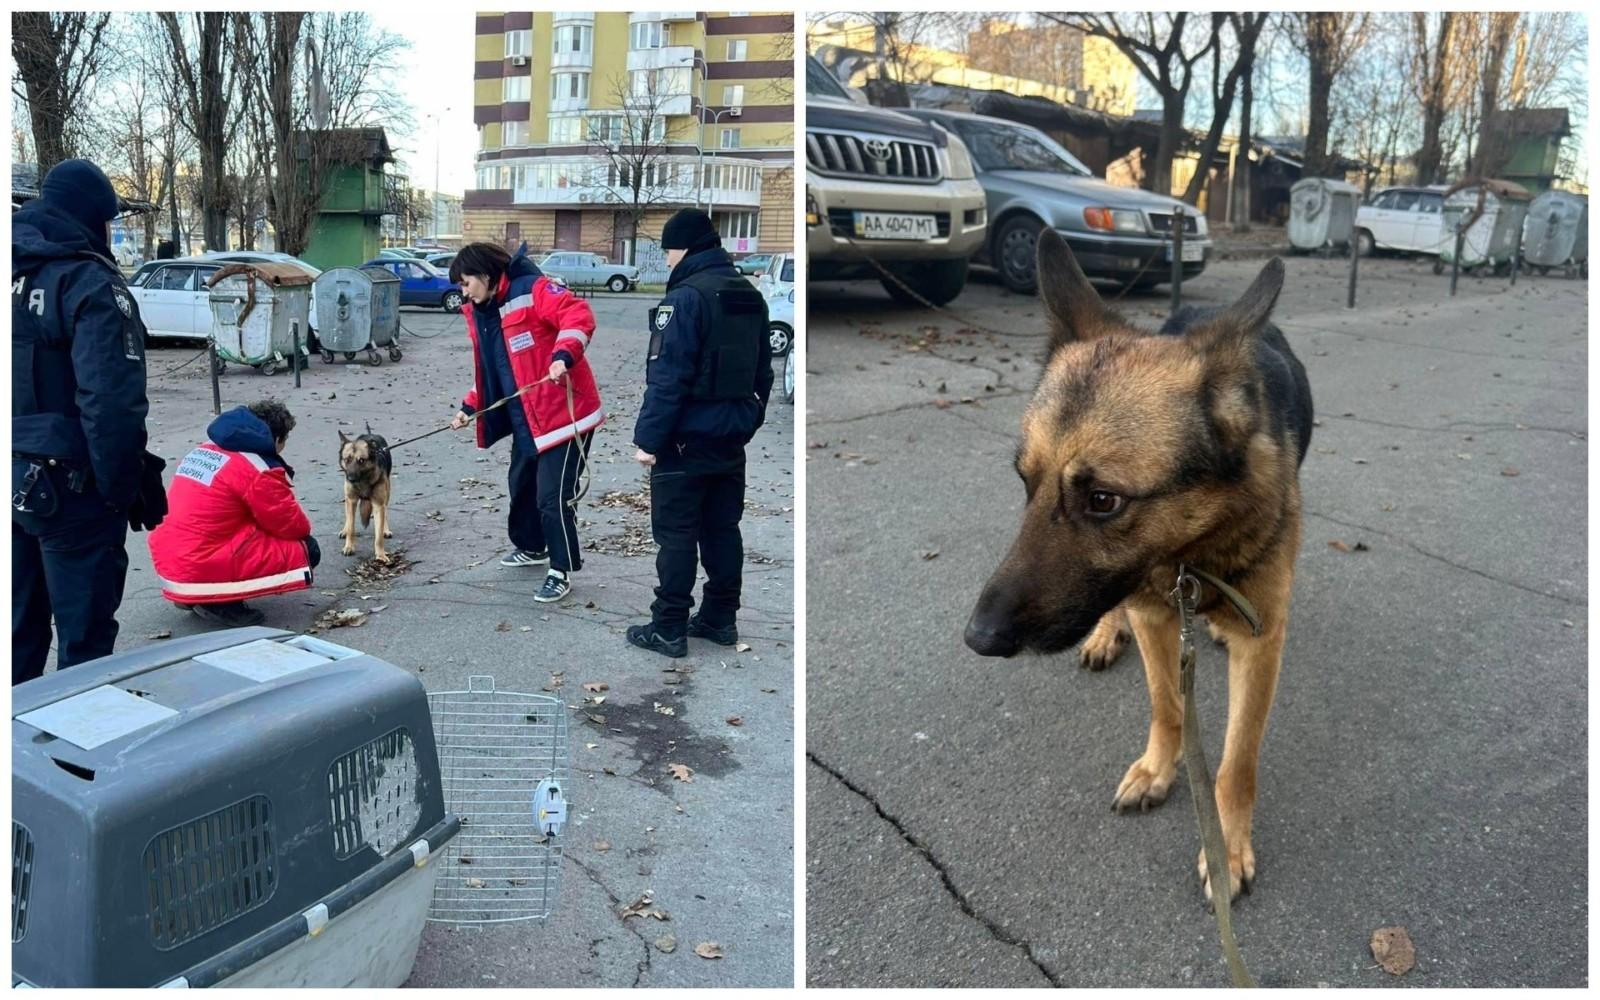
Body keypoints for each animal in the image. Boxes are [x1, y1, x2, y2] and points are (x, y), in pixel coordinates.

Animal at [337, 422, 393, 563]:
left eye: (361, 460)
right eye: (347, 459)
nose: (350, 479)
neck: (363, 480)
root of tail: (370, 434)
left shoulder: (378, 504)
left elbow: (378, 537)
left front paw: (380, 554)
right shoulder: (351, 500)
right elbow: (351, 527)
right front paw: (349, 546)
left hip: (387, 492)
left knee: (385, 511)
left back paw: (386, 529)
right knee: (348, 517)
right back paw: (344, 529)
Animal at [960, 233, 1312, 902]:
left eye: (1103, 500)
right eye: (1026, 483)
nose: (978, 639)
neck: (1191, 551)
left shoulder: (1264, 642)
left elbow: (1238, 761)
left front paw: (1226, 847)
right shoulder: (1153, 611)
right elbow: (1166, 703)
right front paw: (1158, 768)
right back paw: (1105, 632)